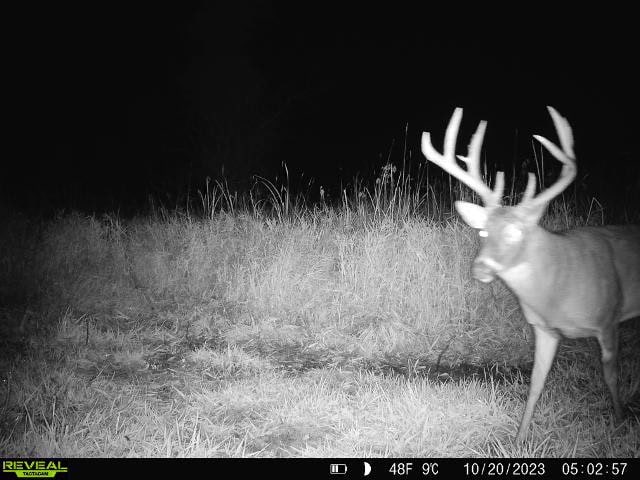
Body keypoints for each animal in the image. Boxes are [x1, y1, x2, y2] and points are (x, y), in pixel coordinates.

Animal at [421, 106, 640, 442]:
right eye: (483, 230)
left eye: (515, 232)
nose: (480, 268)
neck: (557, 294)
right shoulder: (544, 329)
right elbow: (536, 383)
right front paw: (519, 439)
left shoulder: (608, 318)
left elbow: (610, 375)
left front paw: (618, 420)